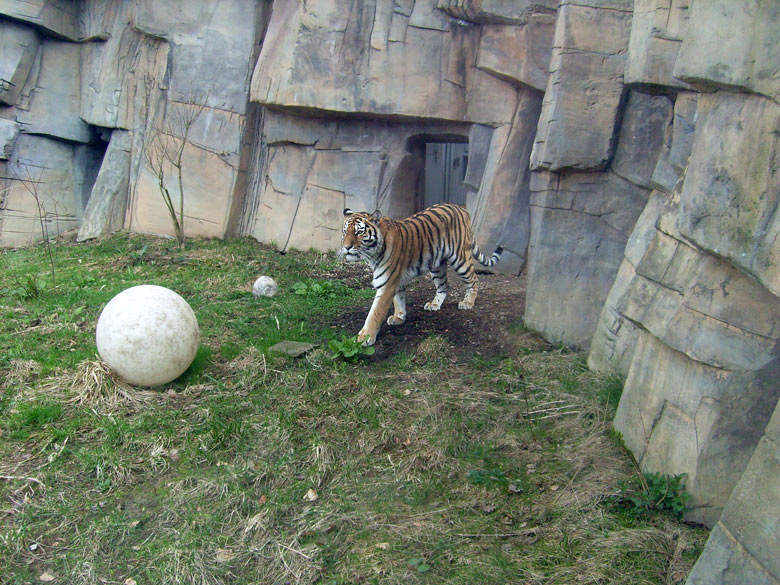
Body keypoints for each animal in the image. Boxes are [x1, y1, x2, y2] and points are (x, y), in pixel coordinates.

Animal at [340, 202, 500, 344]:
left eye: (359, 232)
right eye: (345, 232)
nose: (346, 247)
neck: (373, 254)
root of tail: (462, 209)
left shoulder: (387, 284)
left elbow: (374, 313)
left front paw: (364, 338)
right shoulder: (395, 281)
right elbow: (399, 299)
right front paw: (399, 317)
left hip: (460, 259)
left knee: (474, 280)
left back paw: (467, 302)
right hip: (436, 265)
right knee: (443, 286)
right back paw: (434, 304)